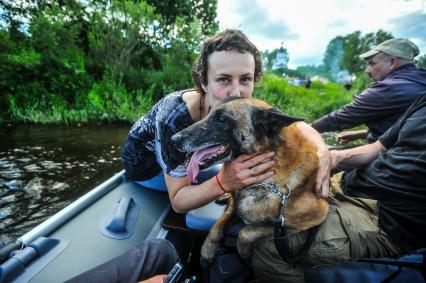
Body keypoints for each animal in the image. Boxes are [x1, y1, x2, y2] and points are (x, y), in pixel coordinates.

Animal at [171, 98, 330, 266]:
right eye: (208, 112)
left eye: (221, 118)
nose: (173, 139)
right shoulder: (235, 203)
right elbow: (217, 227)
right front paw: (207, 250)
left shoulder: (311, 218)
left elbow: (245, 232)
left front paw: (244, 256)